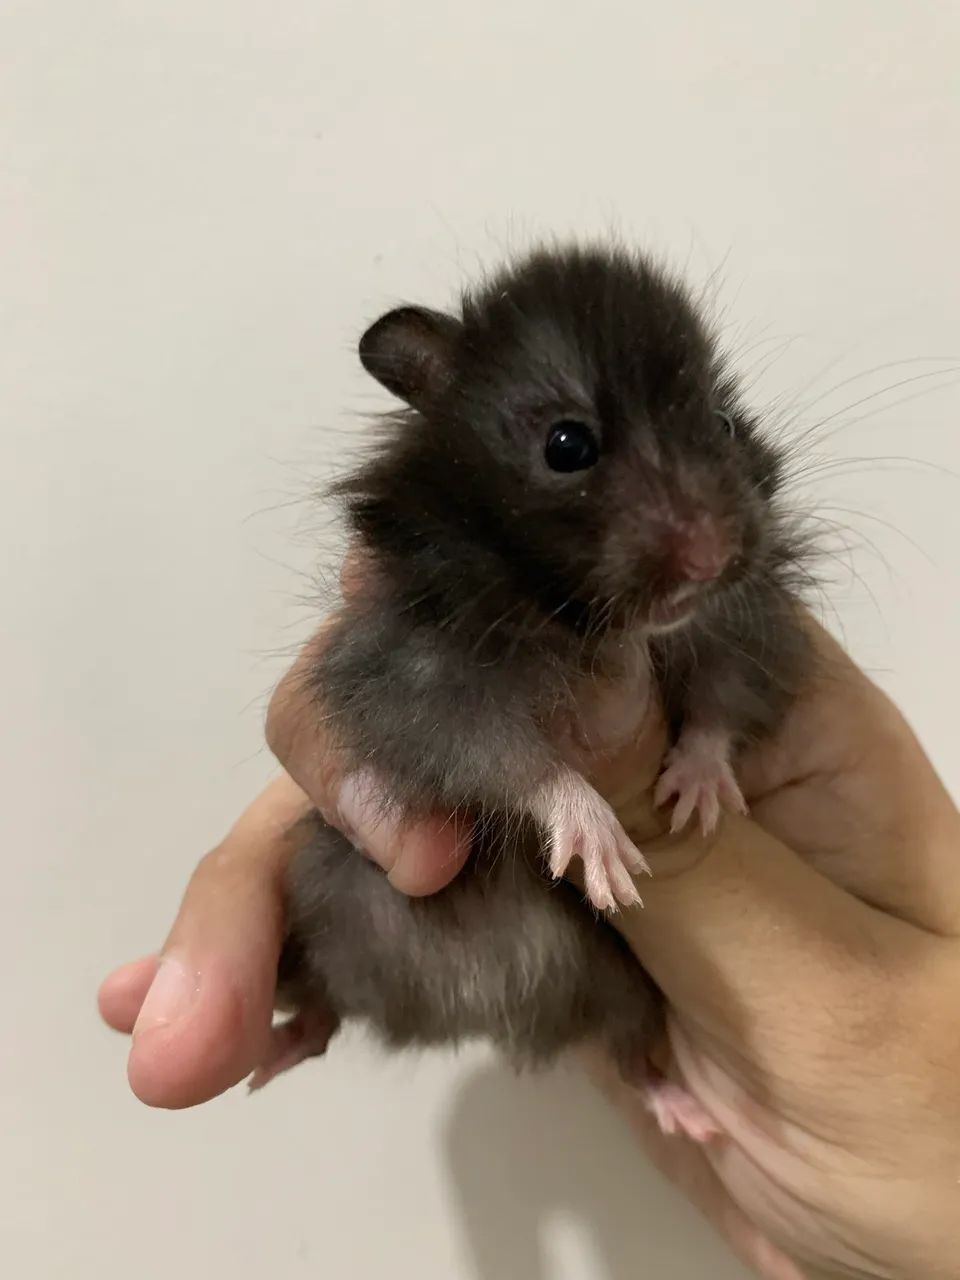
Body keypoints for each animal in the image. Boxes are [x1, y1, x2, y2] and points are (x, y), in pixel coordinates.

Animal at [252, 244, 813, 1138]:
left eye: (724, 424)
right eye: (567, 445)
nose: (713, 558)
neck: (576, 613)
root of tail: (471, 1019)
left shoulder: (744, 626)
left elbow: (721, 703)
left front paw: (697, 798)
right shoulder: (417, 673)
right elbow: (511, 761)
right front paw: (604, 849)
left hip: (622, 982)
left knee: (631, 1049)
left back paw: (687, 1112)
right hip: (331, 910)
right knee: (320, 1007)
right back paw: (268, 1054)